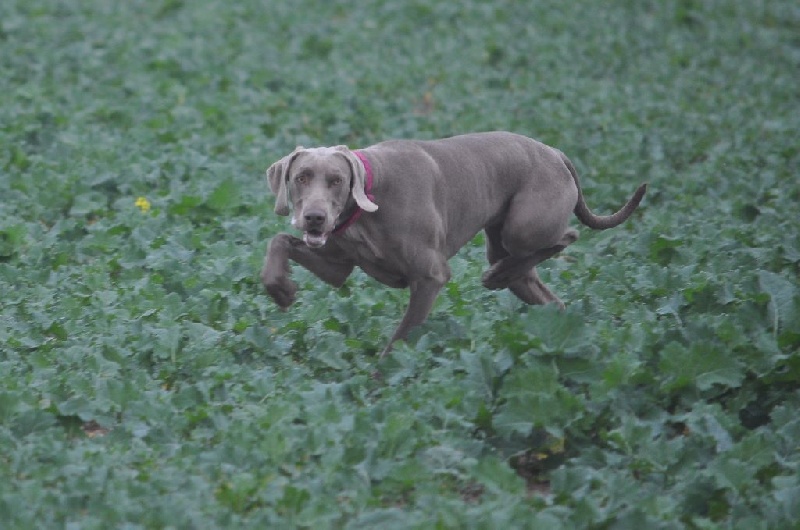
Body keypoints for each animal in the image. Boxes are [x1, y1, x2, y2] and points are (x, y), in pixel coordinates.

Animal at [260, 131, 648, 354]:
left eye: (337, 180)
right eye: (301, 177)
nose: (314, 218)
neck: (369, 199)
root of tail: (556, 153)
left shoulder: (430, 276)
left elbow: (400, 340)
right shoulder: (336, 266)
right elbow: (280, 240)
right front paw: (280, 288)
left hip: (524, 223)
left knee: (567, 235)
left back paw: (497, 276)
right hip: (504, 243)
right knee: (543, 291)